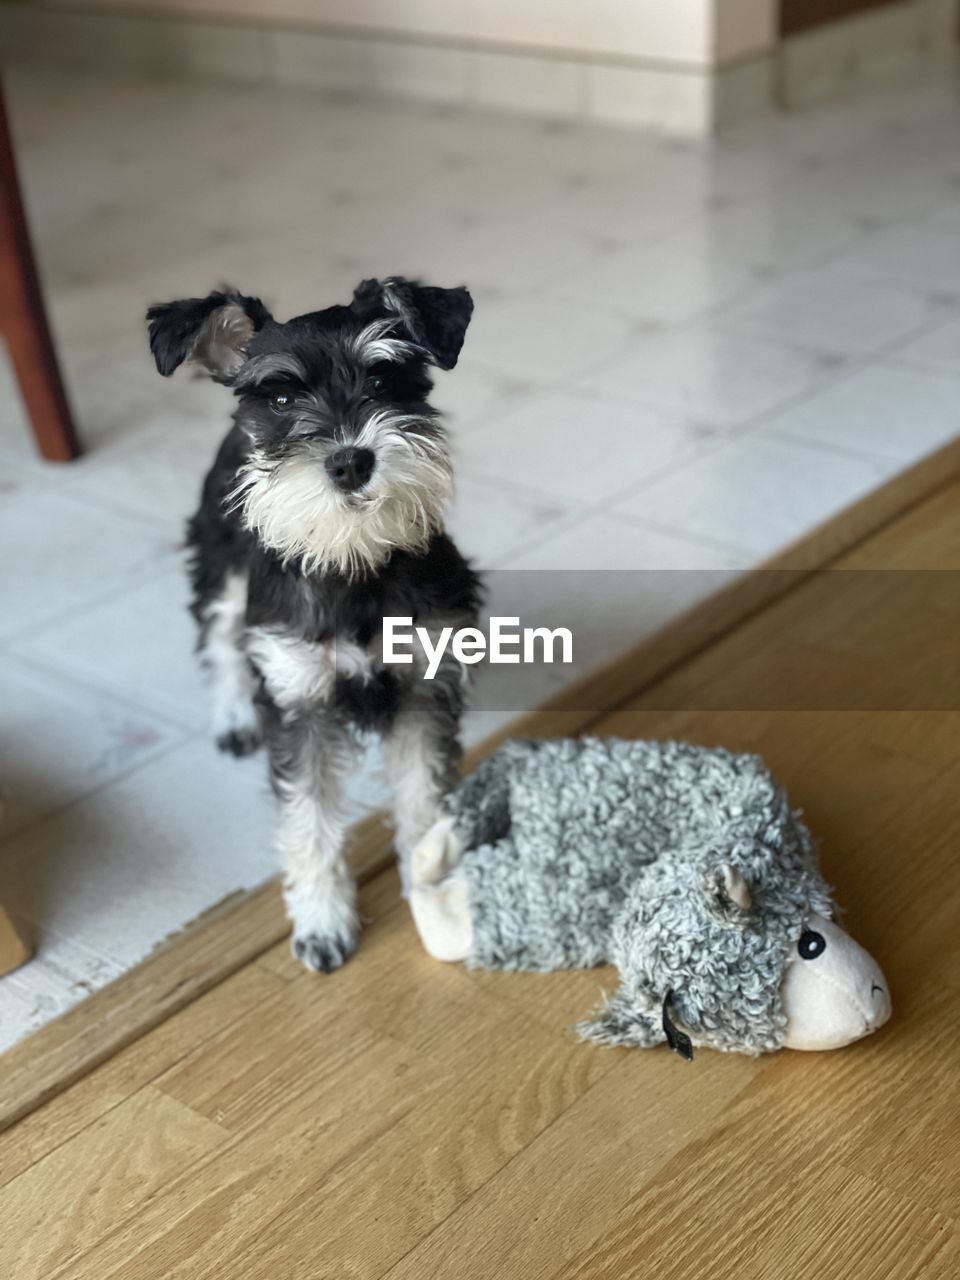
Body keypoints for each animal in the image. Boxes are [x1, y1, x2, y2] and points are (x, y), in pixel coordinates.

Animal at [145, 277, 481, 967]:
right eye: (279, 397)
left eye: (383, 378)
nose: (350, 462)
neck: (354, 562)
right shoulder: (300, 704)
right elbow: (309, 823)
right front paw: (324, 924)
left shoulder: (423, 691)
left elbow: (424, 798)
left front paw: (434, 890)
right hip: (221, 574)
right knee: (220, 644)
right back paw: (233, 719)